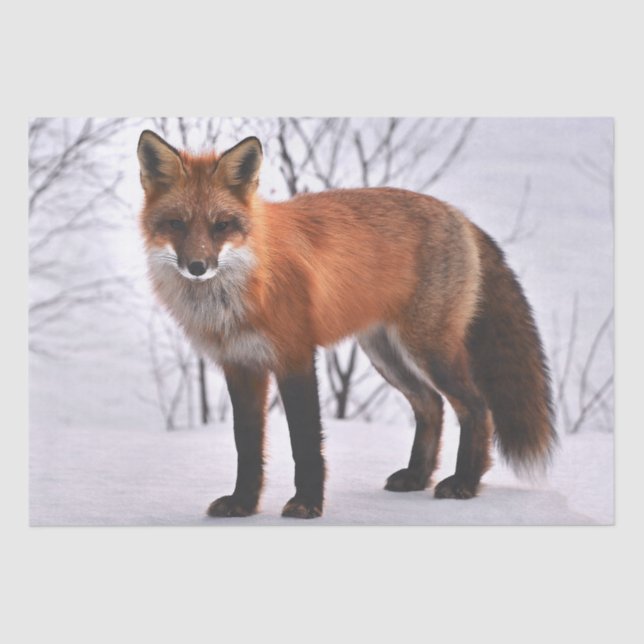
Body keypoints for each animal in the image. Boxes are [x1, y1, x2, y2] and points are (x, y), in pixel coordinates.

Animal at [137, 129, 556, 519]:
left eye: (221, 226)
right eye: (176, 224)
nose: (197, 267)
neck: (240, 290)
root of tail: (458, 215)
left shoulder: (295, 356)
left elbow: (305, 442)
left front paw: (307, 504)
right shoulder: (241, 365)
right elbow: (247, 446)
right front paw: (243, 504)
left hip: (429, 349)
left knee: (476, 407)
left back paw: (465, 482)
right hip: (386, 354)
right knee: (431, 405)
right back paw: (417, 476)